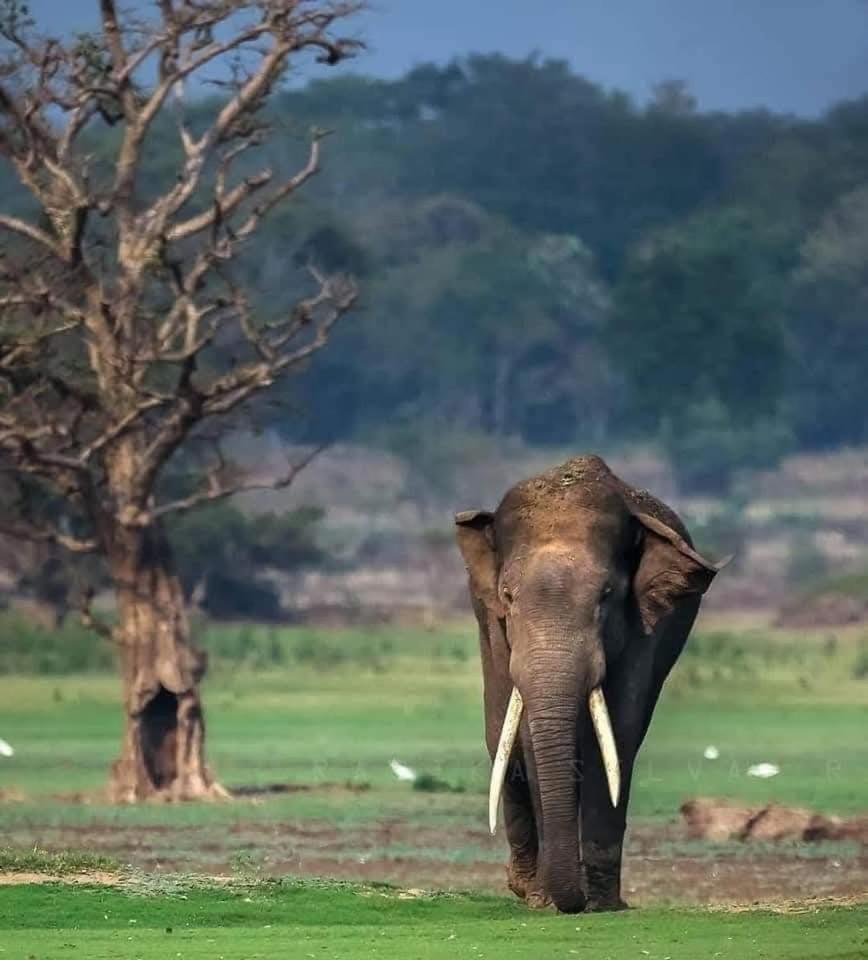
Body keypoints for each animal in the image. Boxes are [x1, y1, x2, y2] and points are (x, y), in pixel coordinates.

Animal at [454, 454, 724, 912]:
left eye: (607, 596)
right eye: (507, 597)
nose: (573, 900)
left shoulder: (645, 624)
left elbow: (619, 730)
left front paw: (599, 903)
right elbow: (525, 735)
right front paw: (545, 901)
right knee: (499, 742)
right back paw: (522, 885)